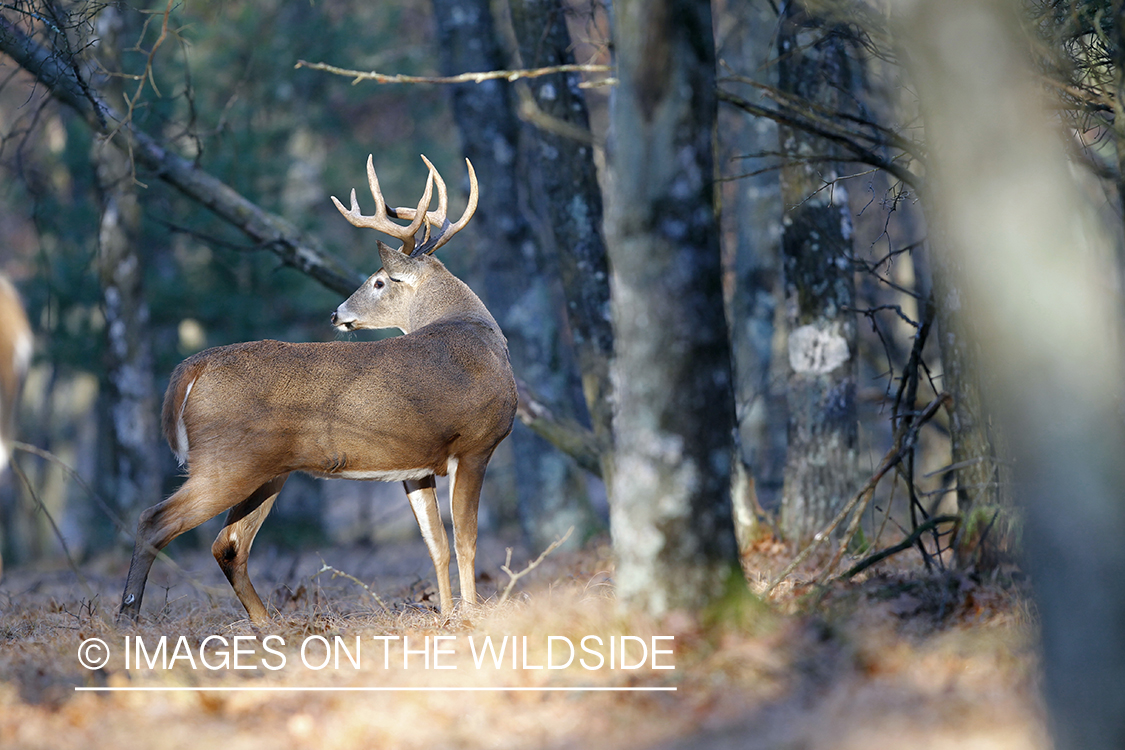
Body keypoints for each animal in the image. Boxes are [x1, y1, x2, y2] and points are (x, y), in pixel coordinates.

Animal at [117, 155, 515, 625]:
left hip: (267, 471)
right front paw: (472, 615)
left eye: (379, 282)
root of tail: (194, 365)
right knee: (153, 521)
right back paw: (127, 618)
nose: (336, 314)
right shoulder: (475, 443)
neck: (474, 329)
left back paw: (267, 623)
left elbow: (436, 545)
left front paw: (449, 615)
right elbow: (466, 541)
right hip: (226, 462)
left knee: (228, 544)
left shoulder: (416, 466)